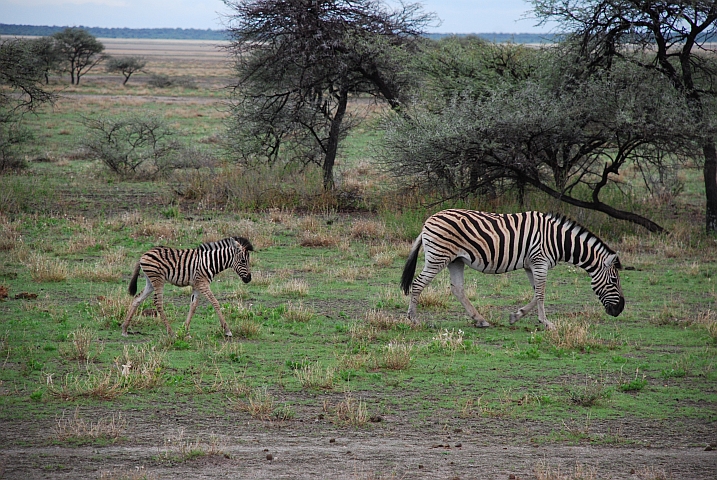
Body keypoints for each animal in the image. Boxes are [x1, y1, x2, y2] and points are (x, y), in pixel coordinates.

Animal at [121, 236, 253, 337]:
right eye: (243, 261)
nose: (249, 279)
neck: (210, 262)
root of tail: (143, 254)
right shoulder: (203, 283)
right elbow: (215, 302)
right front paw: (227, 330)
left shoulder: (197, 285)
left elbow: (193, 306)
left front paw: (185, 330)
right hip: (158, 279)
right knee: (158, 303)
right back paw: (170, 332)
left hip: (150, 282)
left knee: (137, 299)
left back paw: (124, 329)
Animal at [400, 210, 624, 330]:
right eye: (614, 281)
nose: (620, 310)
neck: (558, 239)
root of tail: (428, 221)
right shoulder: (540, 261)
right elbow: (541, 294)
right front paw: (546, 323)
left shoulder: (531, 265)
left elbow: (535, 294)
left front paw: (516, 316)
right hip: (438, 257)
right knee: (418, 283)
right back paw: (413, 318)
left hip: (456, 260)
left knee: (457, 289)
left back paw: (480, 320)